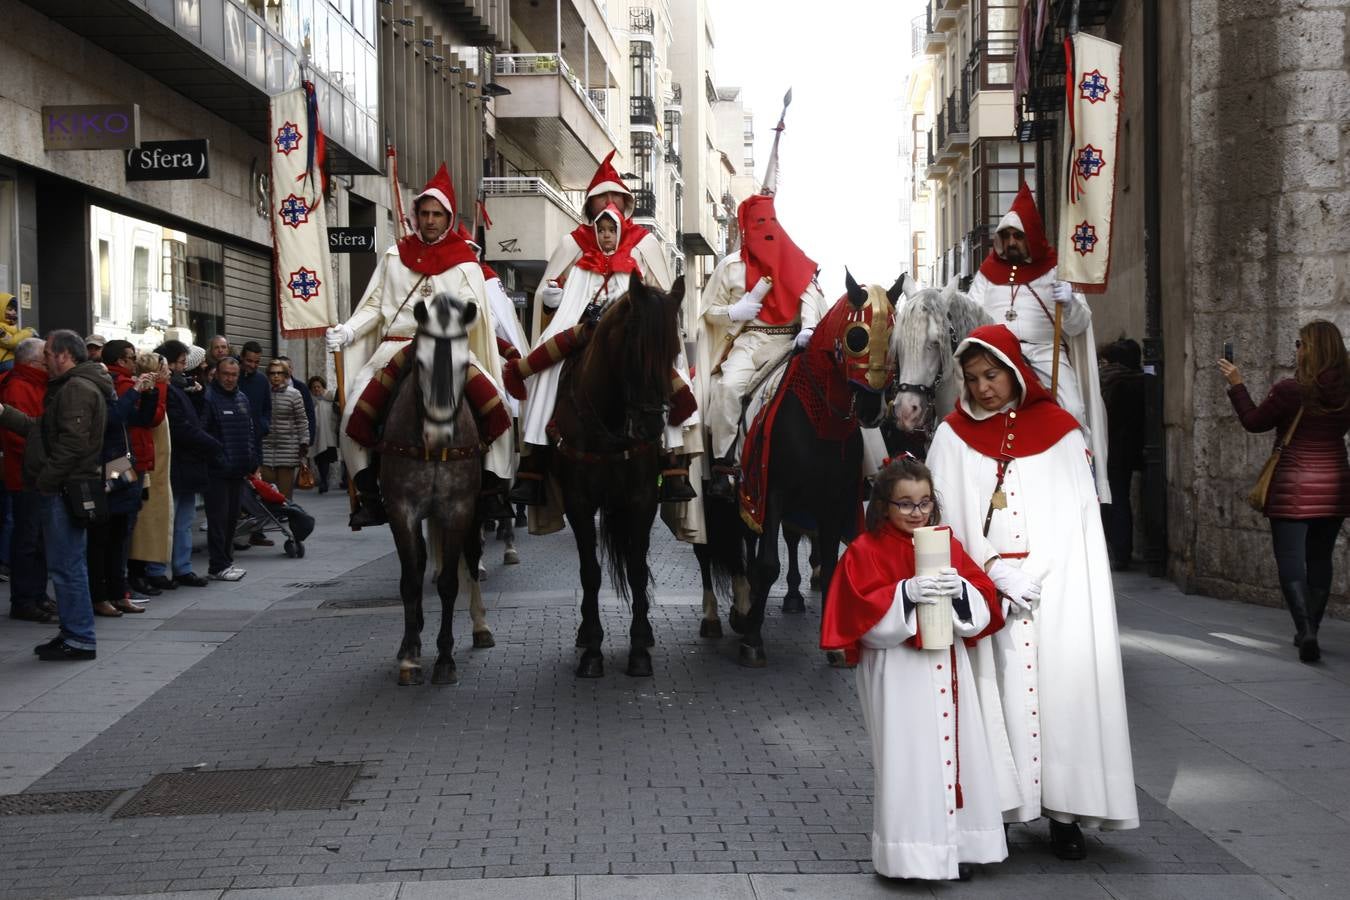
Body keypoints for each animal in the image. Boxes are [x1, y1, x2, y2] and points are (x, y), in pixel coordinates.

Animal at [548, 272, 685, 674]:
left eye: (675, 349)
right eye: (634, 346)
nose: (652, 426)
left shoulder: (642, 499)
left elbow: (638, 570)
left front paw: (639, 646)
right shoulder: (578, 502)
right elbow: (590, 572)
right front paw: (593, 647)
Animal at [702, 271, 901, 666]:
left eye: (893, 336)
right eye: (857, 337)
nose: (872, 409)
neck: (818, 420)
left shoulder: (832, 501)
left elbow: (830, 564)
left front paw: (835, 645)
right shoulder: (773, 493)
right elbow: (768, 565)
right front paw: (753, 640)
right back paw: (719, 617)